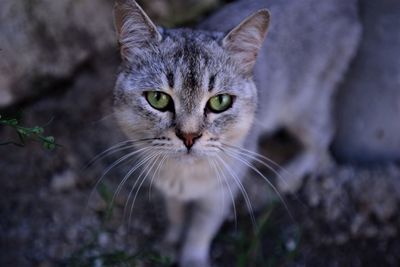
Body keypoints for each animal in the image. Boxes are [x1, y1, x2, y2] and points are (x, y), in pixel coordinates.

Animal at [111, 0, 360, 267]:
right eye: (157, 98)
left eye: (220, 101)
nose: (189, 136)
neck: (184, 174)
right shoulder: (169, 190)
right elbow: (175, 215)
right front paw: (169, 243)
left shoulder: (221, 190)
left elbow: (201, 229)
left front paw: (192, 257)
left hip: (303, 108)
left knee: (325, 133)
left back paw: (291, 174)